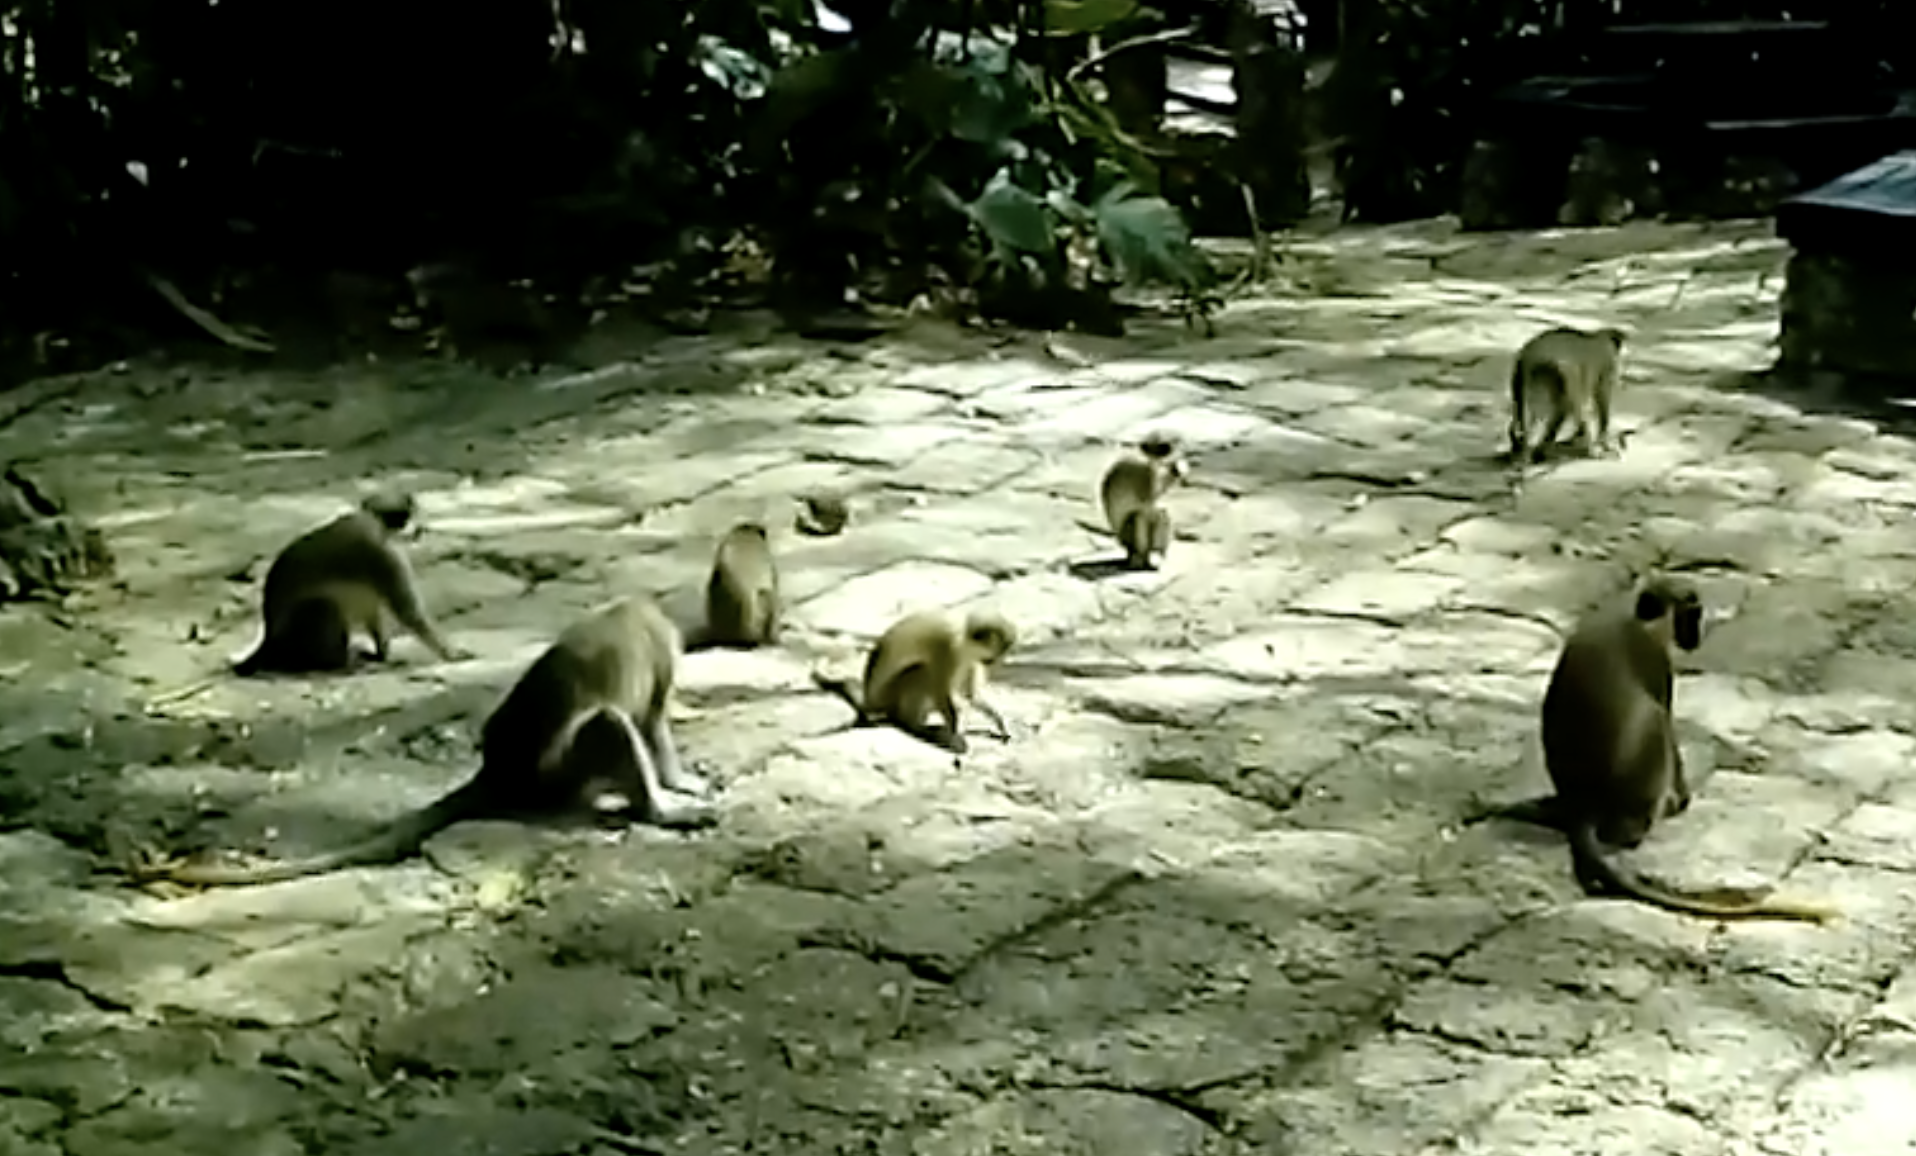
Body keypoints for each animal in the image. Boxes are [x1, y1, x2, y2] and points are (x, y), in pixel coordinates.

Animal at [128, 595, 720, 888]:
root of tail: (500, 769)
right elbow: (650, 720)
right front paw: (677, 785)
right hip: (555, 775)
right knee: (607, 724)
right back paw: (659, 810)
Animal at [145, 492, 464, 711]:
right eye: (408, 516)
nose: (421, 529)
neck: (374, 522)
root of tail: (270, 636)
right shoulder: (379, 552)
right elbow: (408, 611)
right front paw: (452, 652)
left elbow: (374, 607)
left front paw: (381, 652)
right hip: (301, 629)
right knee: (324, 606)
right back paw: (339, 664)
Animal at [813, 609, 1017, 754]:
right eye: (994, 656)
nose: (994, 663)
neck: (962, 641)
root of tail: (871, 701)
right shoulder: (947, 650)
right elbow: (940, 692)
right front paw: (956, 738)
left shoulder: (970, 661)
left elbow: (971, 695)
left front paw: (1000, 722)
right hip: (890, 695)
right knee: (920, 671)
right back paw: (914, 726)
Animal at [1494, 575, 1836, 924]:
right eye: (1691, 613)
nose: (1694, 638)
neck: (1638, 620)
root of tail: (1583, 805)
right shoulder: (1656, 658)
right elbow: (1667, 719)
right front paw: (1682, 798)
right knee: (1655, 719)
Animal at [1507, 326, 1626, 463]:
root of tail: (1529, 357)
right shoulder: (1606, 367)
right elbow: (1602, 401)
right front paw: (1602, 441)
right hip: (1562, 371)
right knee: (1576, 406)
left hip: (1523, 380)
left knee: (1522, 413)